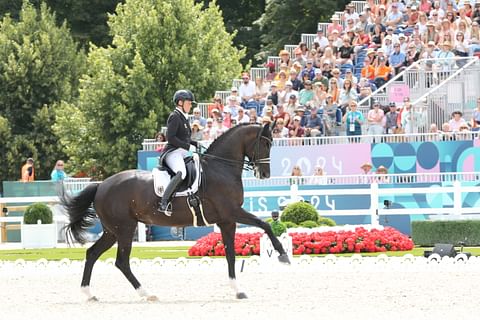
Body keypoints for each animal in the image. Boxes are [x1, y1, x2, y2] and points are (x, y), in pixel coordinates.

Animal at [62, 121, 290, 302]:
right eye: (266, 144)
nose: (265, 174)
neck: (221, 168)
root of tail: (101, 185)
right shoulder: (233, 212)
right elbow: (265, 224)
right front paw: (283, 255)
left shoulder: (227, 221)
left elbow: (231, 255)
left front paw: (238, 290)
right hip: (125, 229)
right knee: (122, 262)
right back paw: (147, 294)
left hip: (112, 231)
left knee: (92, 254)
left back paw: (89, 294)